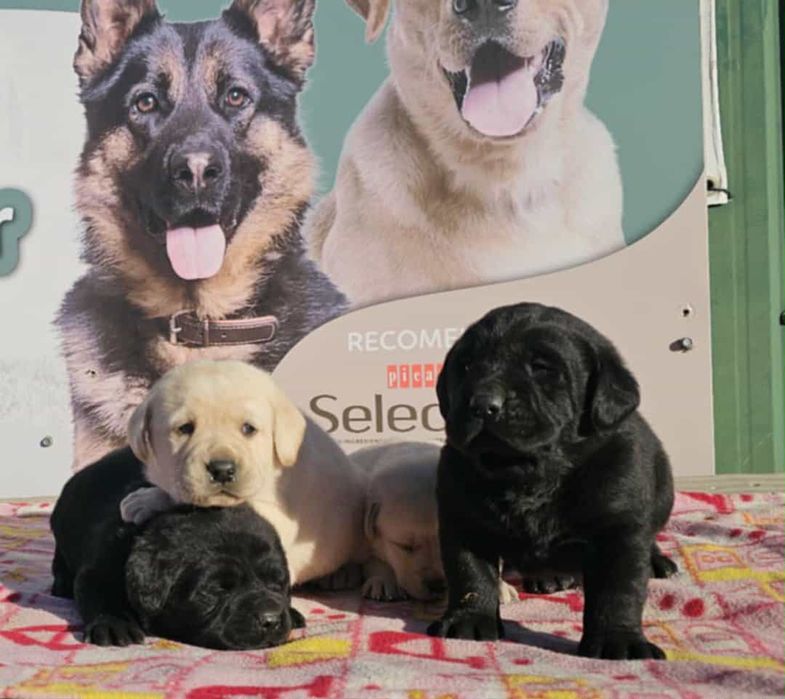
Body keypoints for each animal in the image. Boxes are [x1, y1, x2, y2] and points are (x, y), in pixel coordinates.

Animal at [50, 446, 304, 649]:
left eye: (278, 583)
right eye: (215, 590)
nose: (271, 620)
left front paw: (291, 612)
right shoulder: (101, 567)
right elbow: (101, 595)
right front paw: (114, 626)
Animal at [119, 359, 369, 587]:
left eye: (248, 429)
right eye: (185, 428)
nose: (222, 470)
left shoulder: (281, 514)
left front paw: (148, 500)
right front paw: (146, 498)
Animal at [427, 303, 677, 660]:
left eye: (542, 369)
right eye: (467, 365)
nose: (483, 404)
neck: (529, 475)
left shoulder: (618, 529)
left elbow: (618, 590)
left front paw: (619, 641)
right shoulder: (462, 518)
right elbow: (470, 574)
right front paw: (469, 621)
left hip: (662, 491)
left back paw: (656, 560)